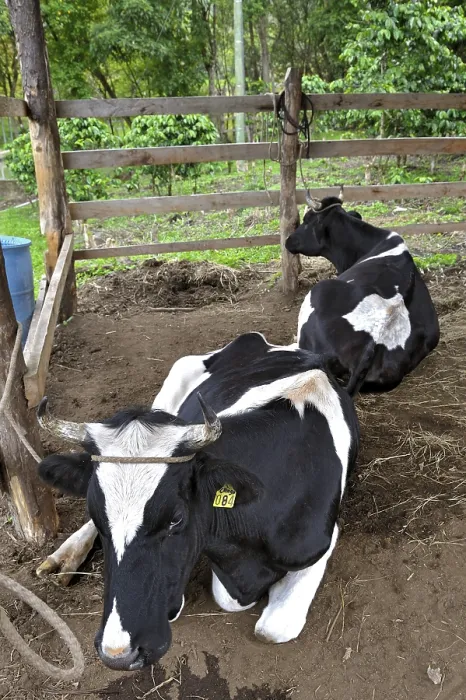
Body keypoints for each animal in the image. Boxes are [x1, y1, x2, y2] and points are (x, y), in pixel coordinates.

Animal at [37, 332, 360, 671]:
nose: (119, 653)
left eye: (176, 518)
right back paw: (65, 557)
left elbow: (272, 629)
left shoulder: (321, 541)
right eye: (96, 513)